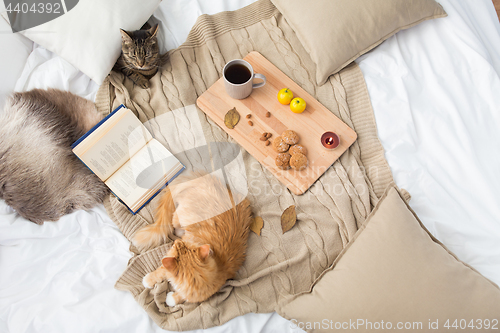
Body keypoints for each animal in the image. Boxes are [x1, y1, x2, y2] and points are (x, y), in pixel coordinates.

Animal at [131, 174, 252, 306]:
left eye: (180, 246)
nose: (177, 242)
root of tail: (203, 180)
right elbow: (159, 272)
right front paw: (147, 280)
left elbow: (180, 297)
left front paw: (171, 298)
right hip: (179, 217)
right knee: (174, 224)